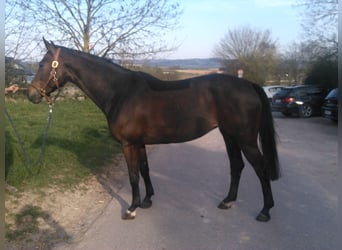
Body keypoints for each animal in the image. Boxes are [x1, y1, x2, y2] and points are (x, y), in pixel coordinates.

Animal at [28, 39, 280, 223]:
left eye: (41, 64)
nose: (31, 95)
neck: (120, 92)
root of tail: (248, 85)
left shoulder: (128, 144)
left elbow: (132, 175)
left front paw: (131, 208)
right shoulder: (139, 142)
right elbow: (144, 169)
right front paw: (147, 200)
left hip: (246, 139)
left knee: (261, 169)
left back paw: (265, 211)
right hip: (229, 136)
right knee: (236, 166)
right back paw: (227, 201)